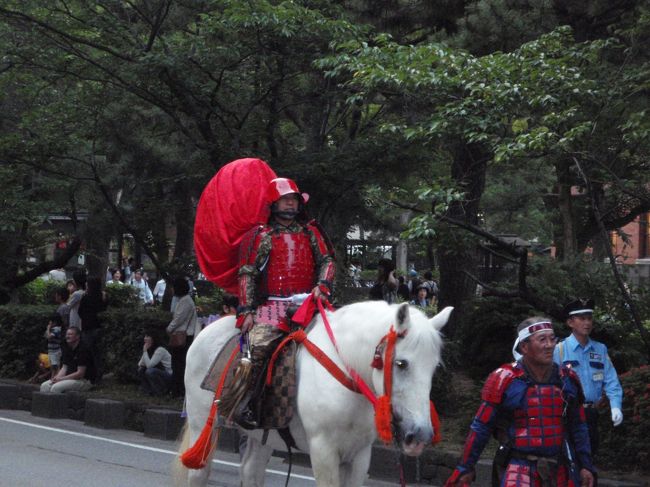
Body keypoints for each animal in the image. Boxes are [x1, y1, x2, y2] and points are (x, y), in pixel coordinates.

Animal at [175, 304, 454, 486]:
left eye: (435, 367)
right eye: (401, 364)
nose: (420, 435)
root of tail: (207, 329)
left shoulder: (360, 454)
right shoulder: (323, 450)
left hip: (262, 434)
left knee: (251, 470)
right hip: (202, 422)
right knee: (198, 472)